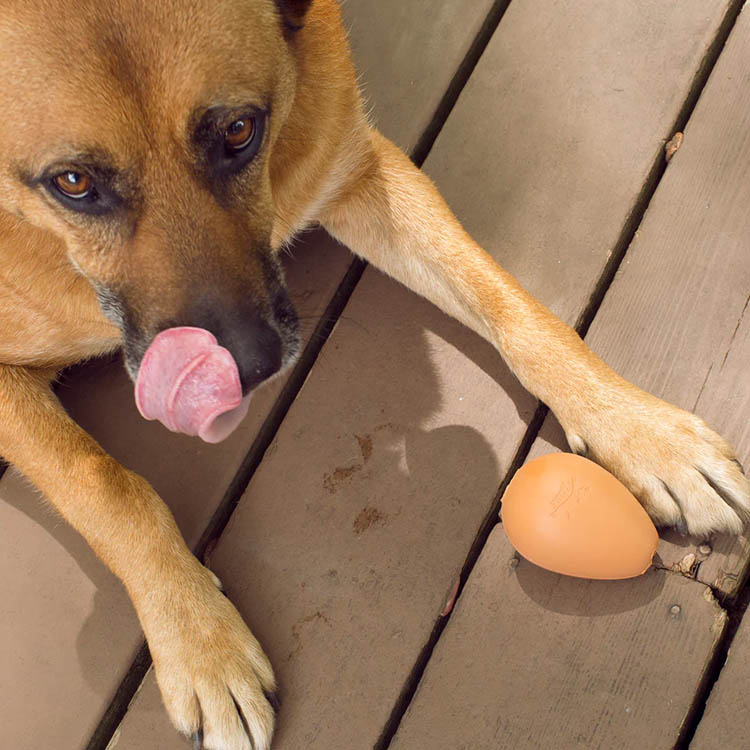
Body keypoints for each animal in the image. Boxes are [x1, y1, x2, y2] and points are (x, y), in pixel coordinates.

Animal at [0, 1, 748, 750]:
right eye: (73, 183)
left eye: (240, 131)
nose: (252, 368)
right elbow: (105, 484)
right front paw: (200, 644)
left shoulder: (363, 171)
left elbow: (507, 300)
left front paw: (640, 429)